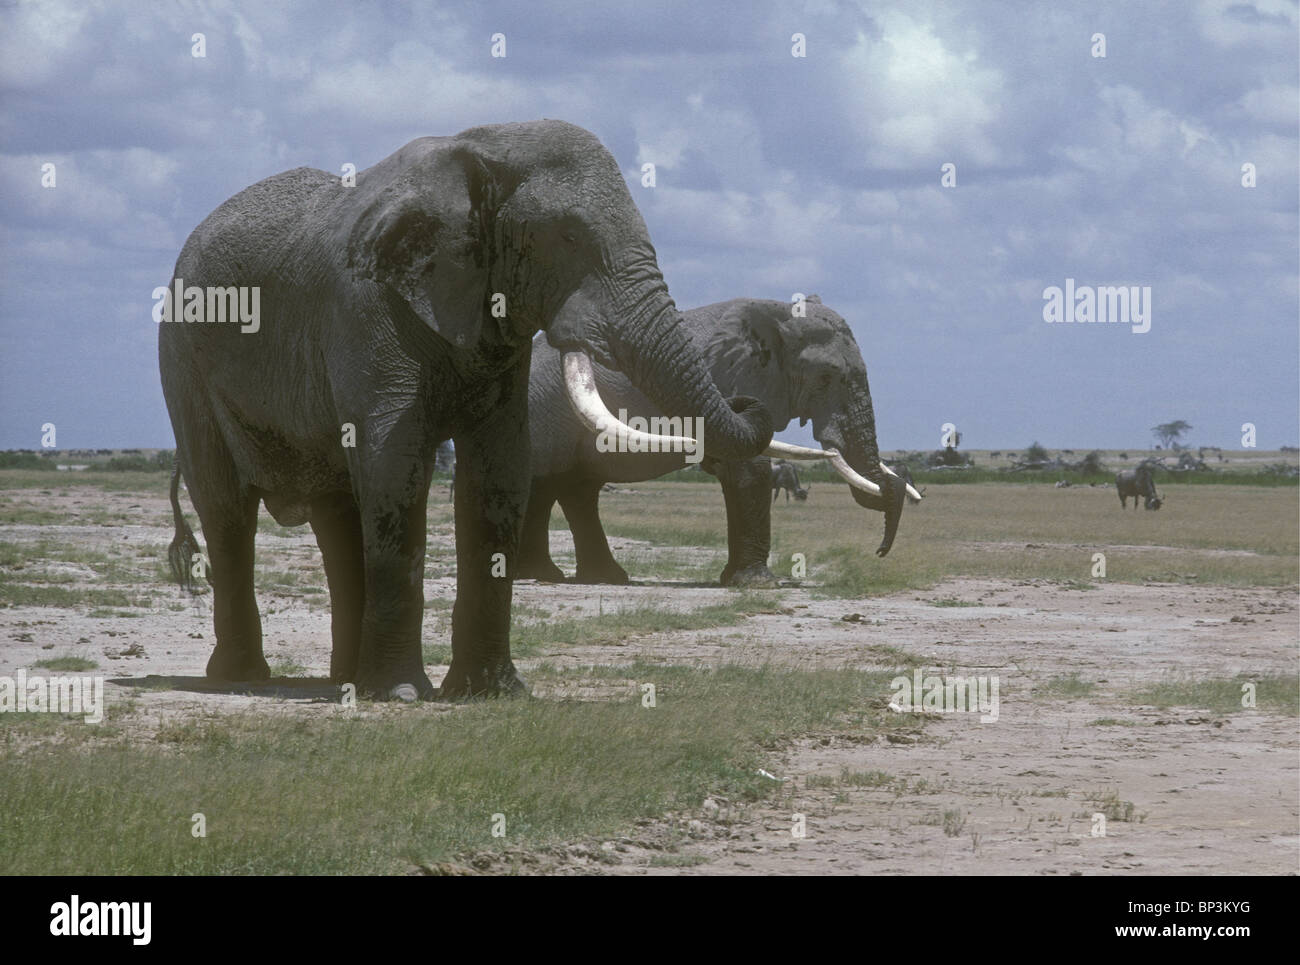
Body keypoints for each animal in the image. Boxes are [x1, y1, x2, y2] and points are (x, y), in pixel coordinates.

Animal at [162, 120, 769, 702]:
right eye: (568, 237)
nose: (749, 398)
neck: (483, 149)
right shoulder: (366, 309)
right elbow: (395, 467)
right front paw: (403, 695)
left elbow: (501, 471)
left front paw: (492, 693)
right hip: (183, 362)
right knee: (227, 510)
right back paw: (244, 676)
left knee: (335, 513)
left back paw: (344, 680)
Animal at [512, 295, 920, 585]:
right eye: (827, 378)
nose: (880, 552)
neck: (778, 315)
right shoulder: (729, 379)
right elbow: (748, 467)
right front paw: (760, 584)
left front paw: (735, 580)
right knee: (549, 484)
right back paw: (549, 576)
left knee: (571, 489)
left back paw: (591, 578)